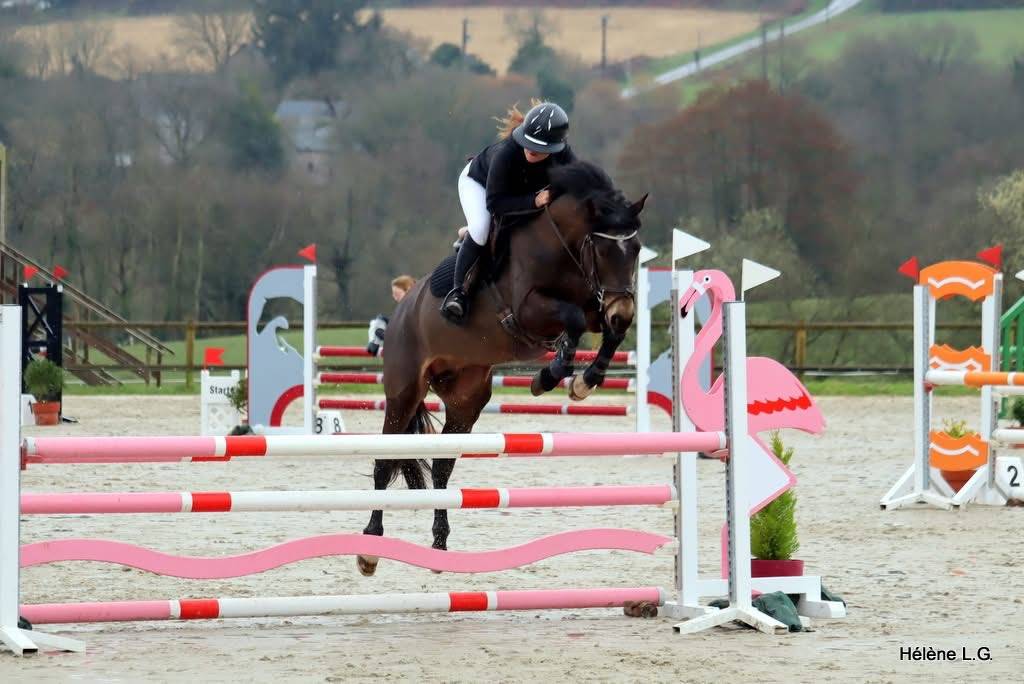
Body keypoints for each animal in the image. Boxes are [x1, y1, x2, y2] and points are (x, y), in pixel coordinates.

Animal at [357, 160, 647, 576]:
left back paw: (439, 545)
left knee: (442, 467)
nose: (623, 309)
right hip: (404, 391)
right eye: (604, 249)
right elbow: (573, 319)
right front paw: (550, 375)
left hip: (466, 399)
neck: (562, 245)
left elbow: (608, 331)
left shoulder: (596, 305)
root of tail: (401, 309)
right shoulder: (529, 309)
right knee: (385, 461)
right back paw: (369, 547)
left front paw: (583, 381)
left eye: (636, 249)